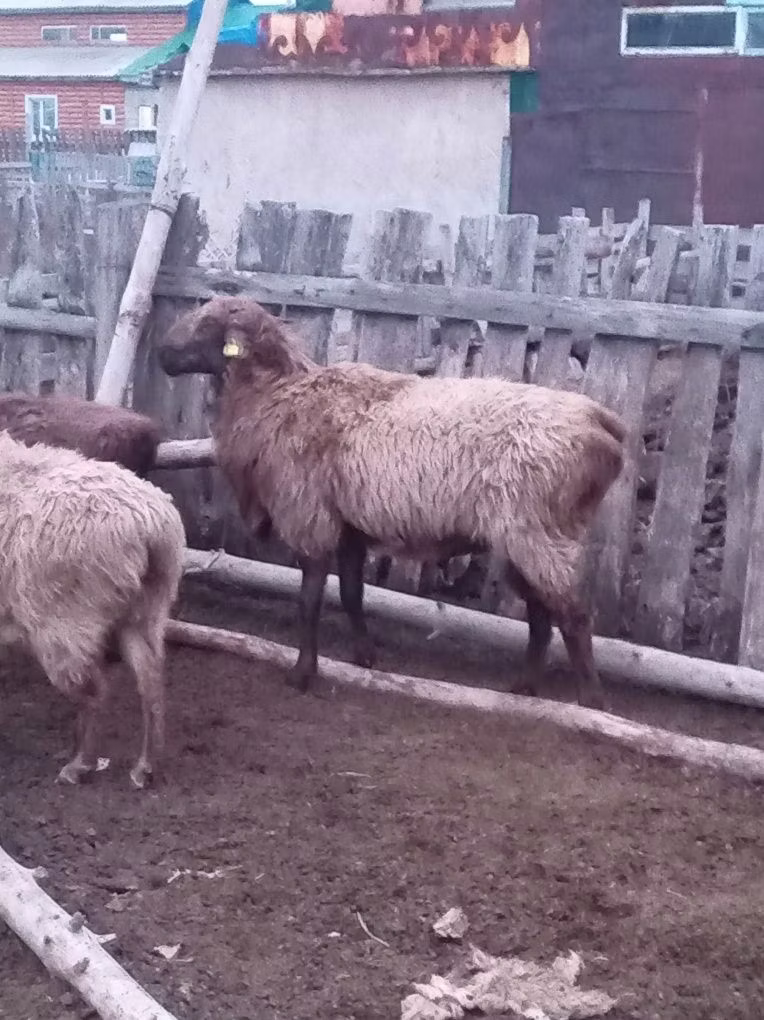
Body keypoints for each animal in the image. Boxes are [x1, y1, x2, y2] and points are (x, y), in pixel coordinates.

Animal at [0, 430, 186, 788]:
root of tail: (151, 524)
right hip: (144, 610)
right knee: (149, 677)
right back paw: (145, 767)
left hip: (66, 620)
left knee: (94, 690)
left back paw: (80, 764)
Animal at [156, 295, 626, 710]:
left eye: (206, 325)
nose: (162, 355)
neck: (277, 395)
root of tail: (603, 424)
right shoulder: (348, 526)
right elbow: (351, 593)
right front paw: (364, 657)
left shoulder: (310, 517)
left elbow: (309, 601)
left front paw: (303, 673)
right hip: (523, 538)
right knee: (541, 614)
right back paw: (524, 688)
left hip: (540, 533)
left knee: (574, 614)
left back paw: (592, 703)